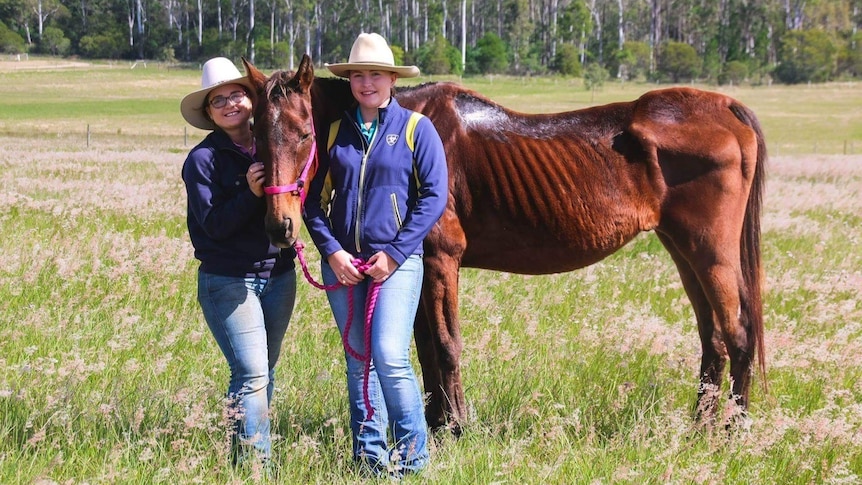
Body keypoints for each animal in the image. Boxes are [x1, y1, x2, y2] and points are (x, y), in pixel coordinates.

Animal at [243, 54, 768, 432]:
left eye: (304, 133)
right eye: (255, 135)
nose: (277, 227)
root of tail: (723, 108)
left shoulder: (440, 259)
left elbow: (446, 344)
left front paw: (457, 427)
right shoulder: (414, 266)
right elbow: (424, 348)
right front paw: (436, 424)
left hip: (710, 253)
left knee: (738, 333)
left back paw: (732, 431)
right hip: (682, 250)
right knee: (713, 340)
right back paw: (699, 427)